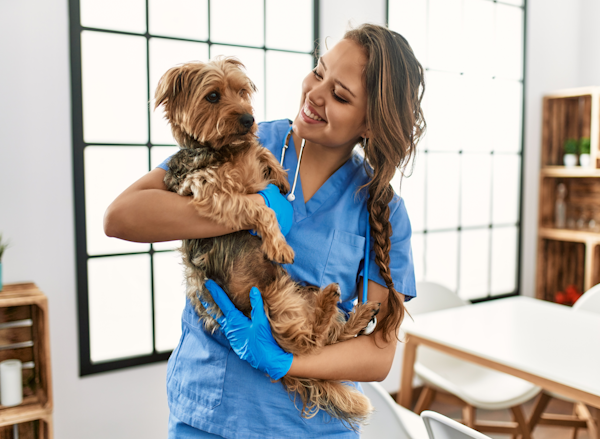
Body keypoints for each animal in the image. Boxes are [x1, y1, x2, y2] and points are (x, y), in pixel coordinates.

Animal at [155, 58, 380, 430]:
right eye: (213, 96)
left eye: (242, 92)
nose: (248, 120)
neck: (226, 149)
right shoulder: (211, 192)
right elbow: (261, 206)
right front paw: (280, 243)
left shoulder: (245, 161)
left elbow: (262, 155)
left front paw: (282, 177)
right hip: (270, 307)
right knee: (308, 345)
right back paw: (333, 309)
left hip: (296, 289)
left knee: (325, 340)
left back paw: (355, 311)